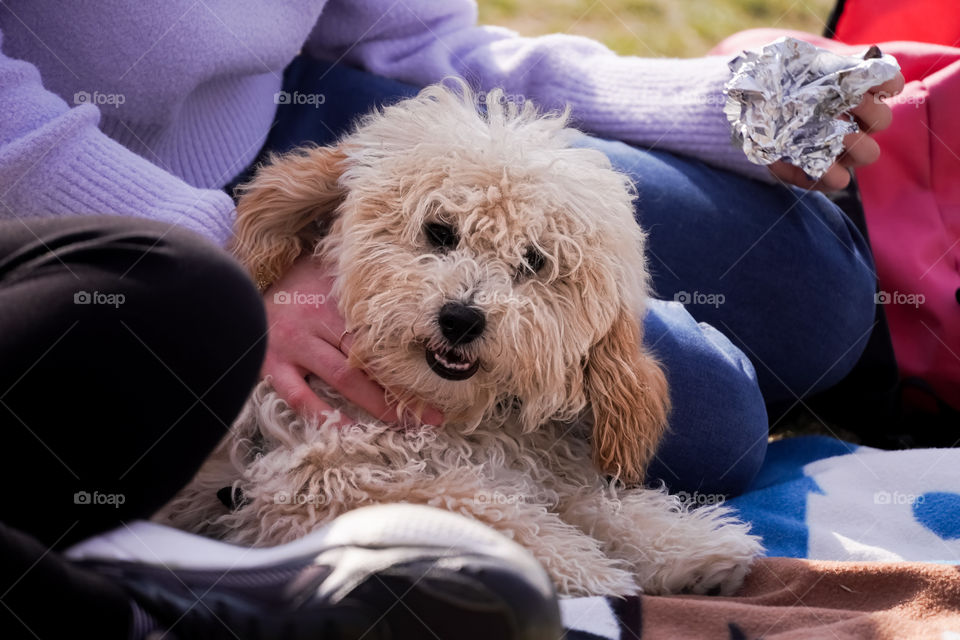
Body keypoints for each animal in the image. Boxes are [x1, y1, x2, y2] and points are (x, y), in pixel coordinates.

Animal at [159, 82, 764, 596]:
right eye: (439, 231)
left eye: (534, 261)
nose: (462, 319)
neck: (440, 418)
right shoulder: (317, 483)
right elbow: (470, 507)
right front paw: (583, 568)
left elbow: (601, 506)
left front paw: (689, 549)